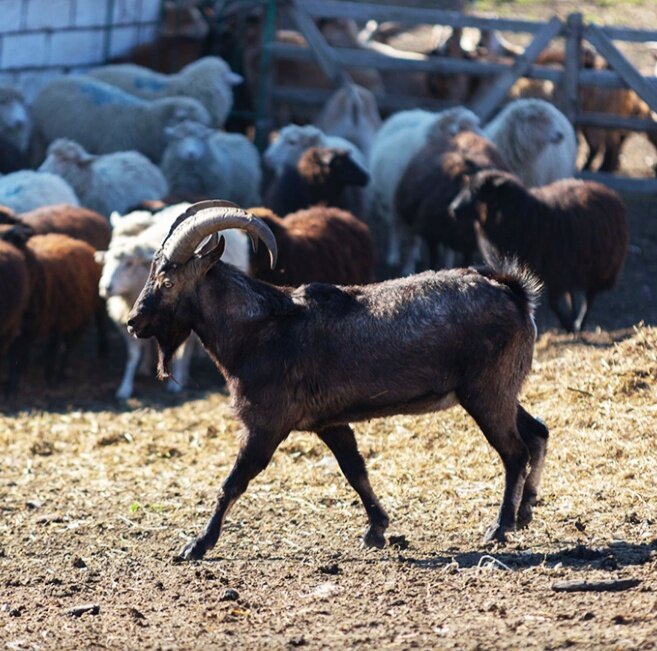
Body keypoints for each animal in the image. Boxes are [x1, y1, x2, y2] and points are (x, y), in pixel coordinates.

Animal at [96, 201, 250, 400]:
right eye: (106, 259)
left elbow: (182, 354)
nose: (105, 288)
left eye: (129, 263)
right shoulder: (127, 318)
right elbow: (133, 355)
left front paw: (176, 384)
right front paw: (125, 388)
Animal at [368, 107, 482, 268]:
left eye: (478, 124)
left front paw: (448, 266)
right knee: (395, 226)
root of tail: (404, 113)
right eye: (462, 127)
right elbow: (411, 239)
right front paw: (408, 266)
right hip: (393, 200)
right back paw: (393, 256)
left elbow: (448, 248)